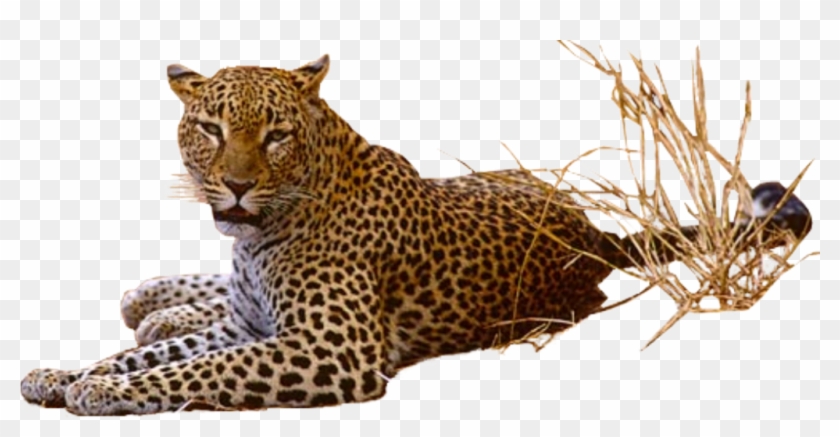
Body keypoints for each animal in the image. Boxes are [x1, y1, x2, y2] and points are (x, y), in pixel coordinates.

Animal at [20, 54, 813, 416]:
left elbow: (196, 371)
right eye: (211, 128)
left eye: (275, 135)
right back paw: (157, 303)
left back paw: (156, 305)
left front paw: (97, 390)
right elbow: (153, 354)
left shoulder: (330, 349)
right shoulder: (251, 324)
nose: (237, 186)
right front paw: (66, 374)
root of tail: (592, 233)